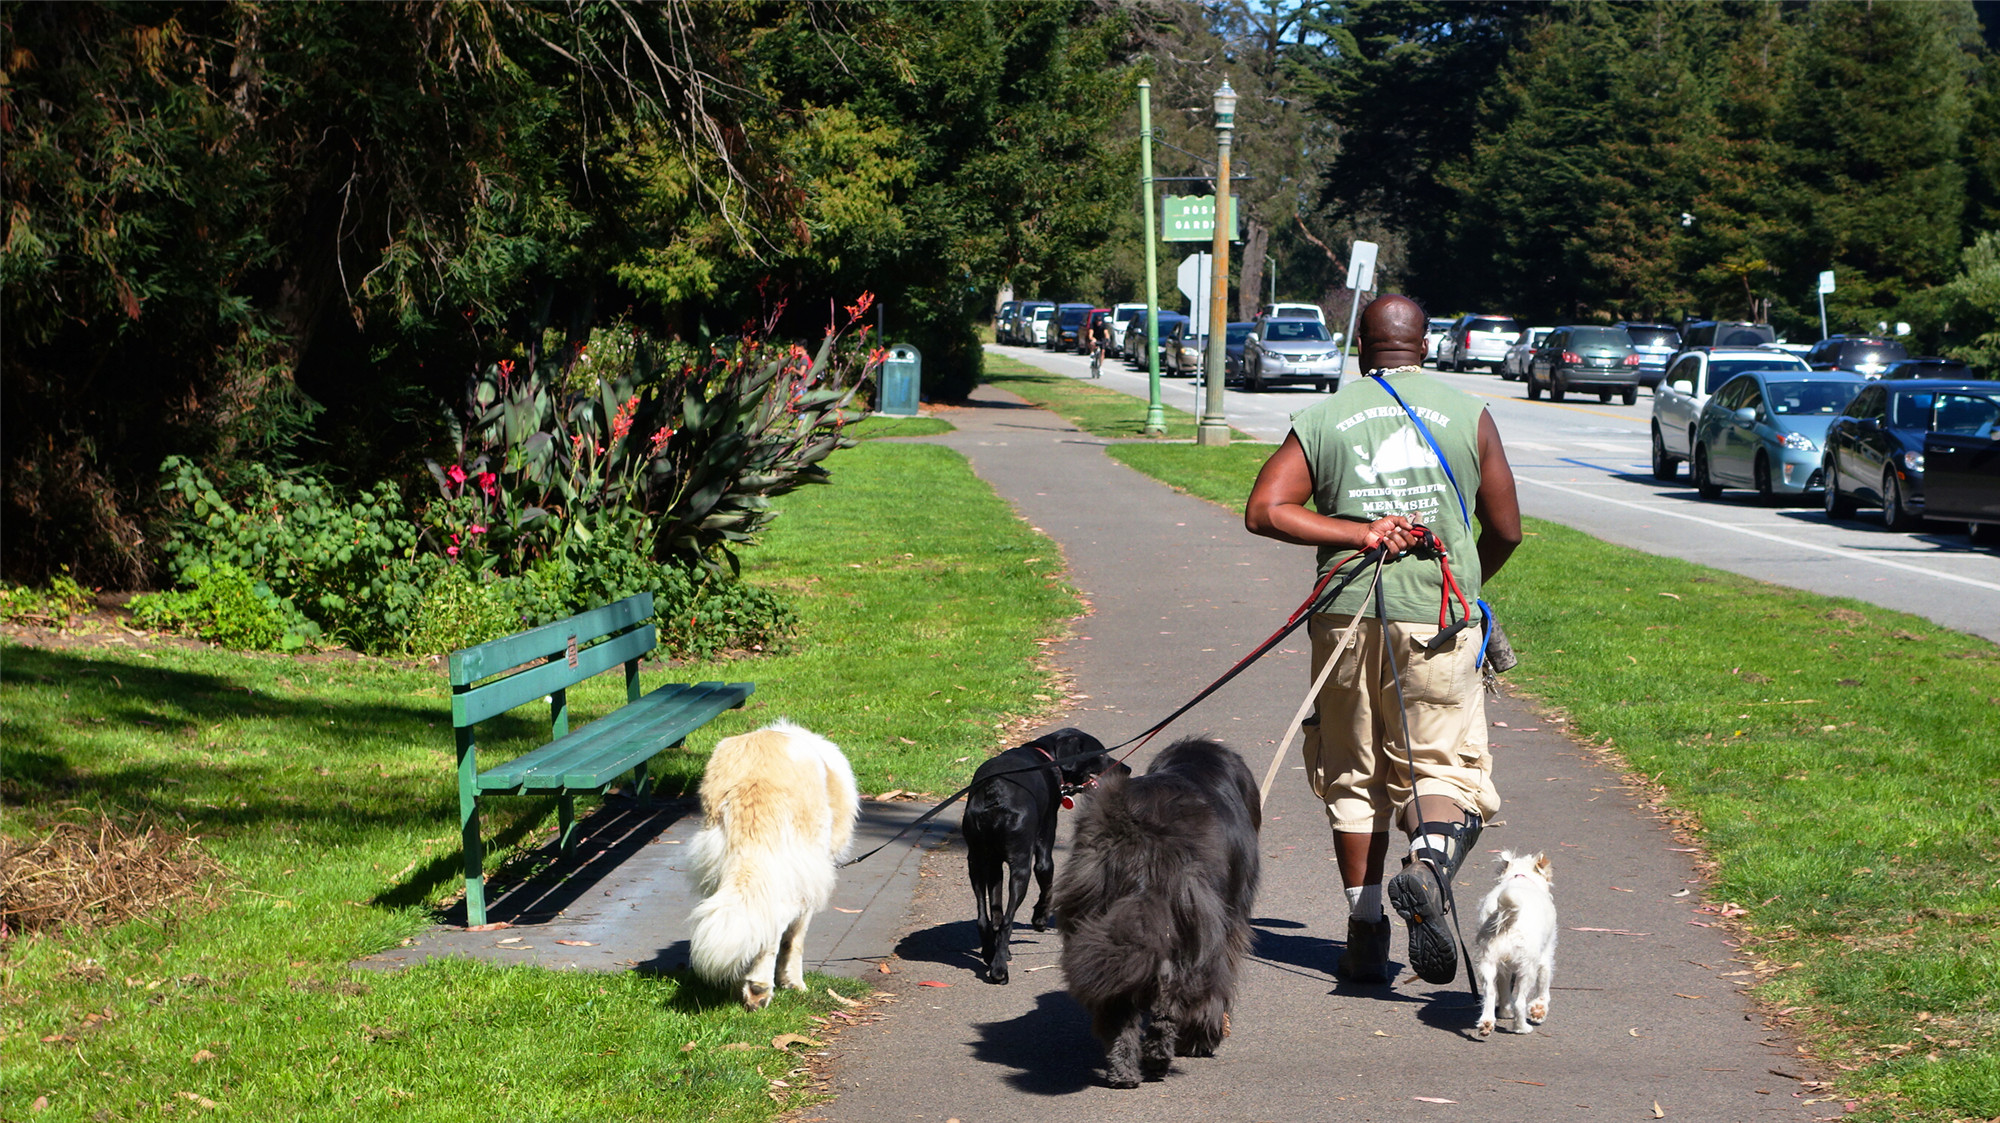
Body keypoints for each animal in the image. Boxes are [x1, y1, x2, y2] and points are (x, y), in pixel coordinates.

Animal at [688, 719, 860, 1011]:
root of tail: (755, 778)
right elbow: (795, 940)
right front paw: (795, 983)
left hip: (722, 859)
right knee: (775, 921)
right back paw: (759, 987)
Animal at [964, 727, 1136, 979]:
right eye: (1101, 753)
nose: (1127, 769)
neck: (1045, 755)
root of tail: (994, 793)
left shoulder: (994, 864)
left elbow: (995, 909)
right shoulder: (1045, 844)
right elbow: (1047, 884)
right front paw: (1040, 919)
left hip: (976, 863)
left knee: (984, 918)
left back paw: (990, 954)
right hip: (1021, 868)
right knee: (1008, 921)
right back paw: (999, 970)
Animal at [1056, 735, 1256, 1087]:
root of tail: (1138, 836)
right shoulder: (1230, 924)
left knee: (1117, 1009)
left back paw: (1123, 1070)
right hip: (1194, 923)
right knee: (1173, 995)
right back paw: (1161, 1057)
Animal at [1472, 847, 1560, 1031]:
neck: (1521, 876)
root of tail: (1509, 920)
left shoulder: (1503, 968)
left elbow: (1504, 989)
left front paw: (1505, 1011)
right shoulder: (1545, 956)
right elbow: (1544, 987)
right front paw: (1539, 1010)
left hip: (1488, 963)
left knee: (1490, 993)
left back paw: (1487, 1023)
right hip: (1527, 969)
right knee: (1520, 1002)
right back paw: (1522, 1028)